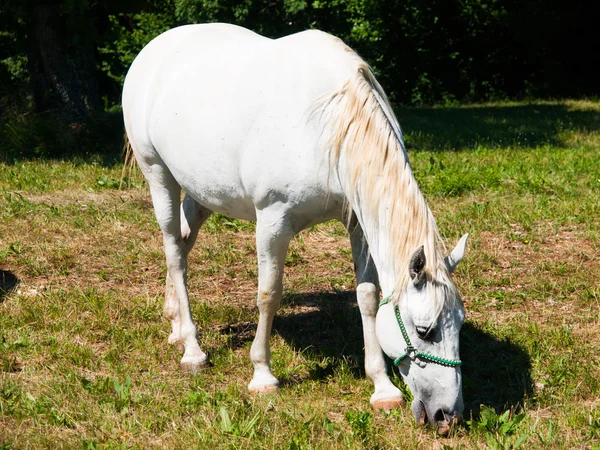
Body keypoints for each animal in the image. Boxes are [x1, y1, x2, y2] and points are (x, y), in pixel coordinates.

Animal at [122, 22, 468, 432]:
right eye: (425, 331)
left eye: (460, 325)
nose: (448, 415)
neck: (328, 123)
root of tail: (154, 48)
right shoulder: (272, 222)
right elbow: (268, 294)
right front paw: (262, 376)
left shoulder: (358, 225)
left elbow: (368, 297)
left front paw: (382, 387)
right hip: (158, 176)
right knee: (174, 251)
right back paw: (192, 348)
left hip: (201, 191)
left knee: (184, 243)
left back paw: (175, 324)